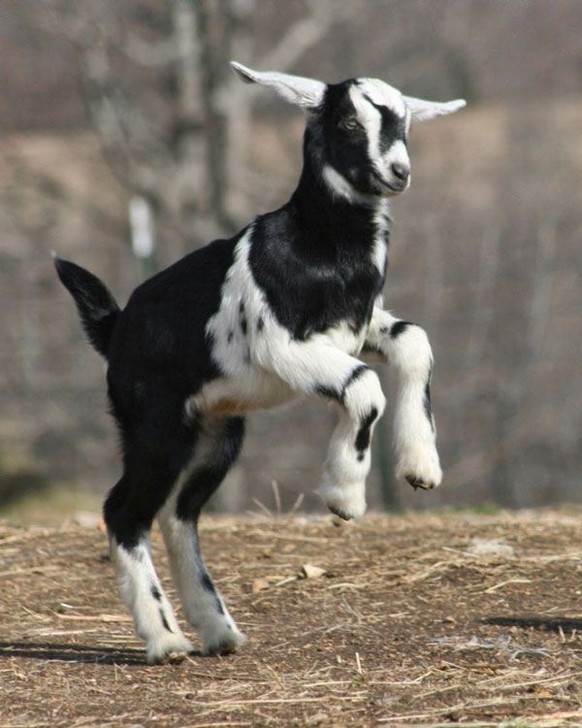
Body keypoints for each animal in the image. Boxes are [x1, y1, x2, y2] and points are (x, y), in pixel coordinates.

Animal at [55, 62, 465, 664]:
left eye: (406, 121)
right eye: (347, 121)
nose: (398, 172)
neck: (318, 244)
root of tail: (115, 329)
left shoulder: (357, 330)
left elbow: (415, 341)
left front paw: (421, 467)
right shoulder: (283, 345)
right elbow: (364, 387)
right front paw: (344, 495)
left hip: (217, 431)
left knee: (179, 513)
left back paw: (217, 629)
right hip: (156, 427)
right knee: (124, 511)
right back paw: (165, 638)